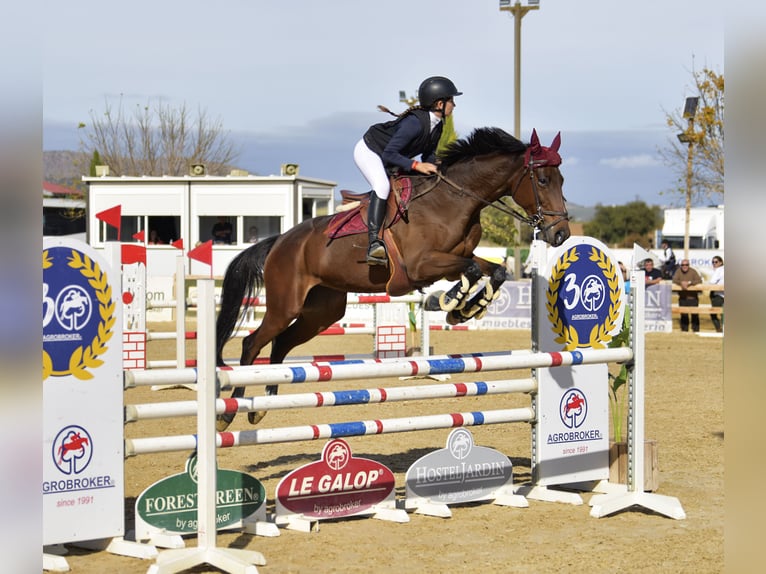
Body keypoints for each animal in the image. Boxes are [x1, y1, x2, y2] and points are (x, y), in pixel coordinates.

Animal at [215, 127, 570, 429]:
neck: (454, 201)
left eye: (561, 179)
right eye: (541, 179)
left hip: (322, 311)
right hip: (285, 304)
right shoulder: (421, 266)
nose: (561, 234)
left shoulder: (451, 261)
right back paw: (229, 413)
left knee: (281, 342)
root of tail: (279, 241)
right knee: (252, 343)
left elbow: (494, 270)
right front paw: (450, 302)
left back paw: (265, 403)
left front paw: (467, 308)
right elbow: (469, 270)